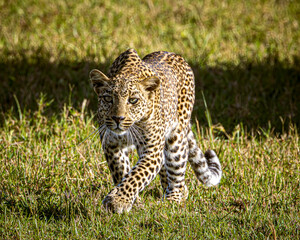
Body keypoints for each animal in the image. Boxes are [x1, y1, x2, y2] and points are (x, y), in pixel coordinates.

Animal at [89, 47, 223, 213]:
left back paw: (172, 200)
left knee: (177, 174)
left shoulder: (152, 150)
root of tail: (175, 54)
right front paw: (130, 201)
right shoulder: (111, 144)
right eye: (108, 99)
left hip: (176, 139)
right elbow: (121, 171)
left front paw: (117, 201)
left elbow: (136, 175)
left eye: (133, 100)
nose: (117, 118)